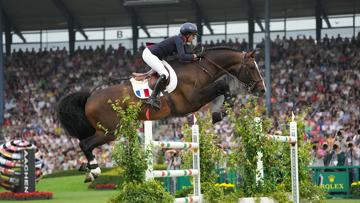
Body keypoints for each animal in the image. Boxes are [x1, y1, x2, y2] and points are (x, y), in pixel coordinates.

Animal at [56, 46, 264, 182]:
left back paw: (87, 169)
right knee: (85, 144)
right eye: (252, 67)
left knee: (85, 143)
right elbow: (223, 85)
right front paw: (220, 112)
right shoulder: (193, 99)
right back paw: (94, 171)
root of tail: (90, 97)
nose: (262, 90)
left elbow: (222, 87)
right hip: (110, 131)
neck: (199, 69)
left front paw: (218, 113)